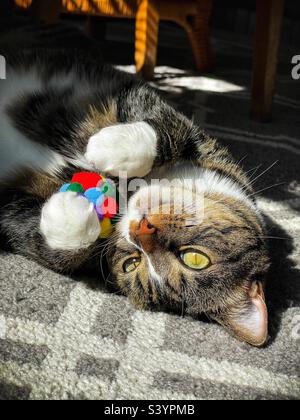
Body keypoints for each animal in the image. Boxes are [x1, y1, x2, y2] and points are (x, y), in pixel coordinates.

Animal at [0, 25, 270, 348]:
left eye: (131, 262)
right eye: (196, 259)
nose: (141, 228)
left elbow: (37, 240)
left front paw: (69, 213)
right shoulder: (178, 123)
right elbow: (166, 127)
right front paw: (109, 147)